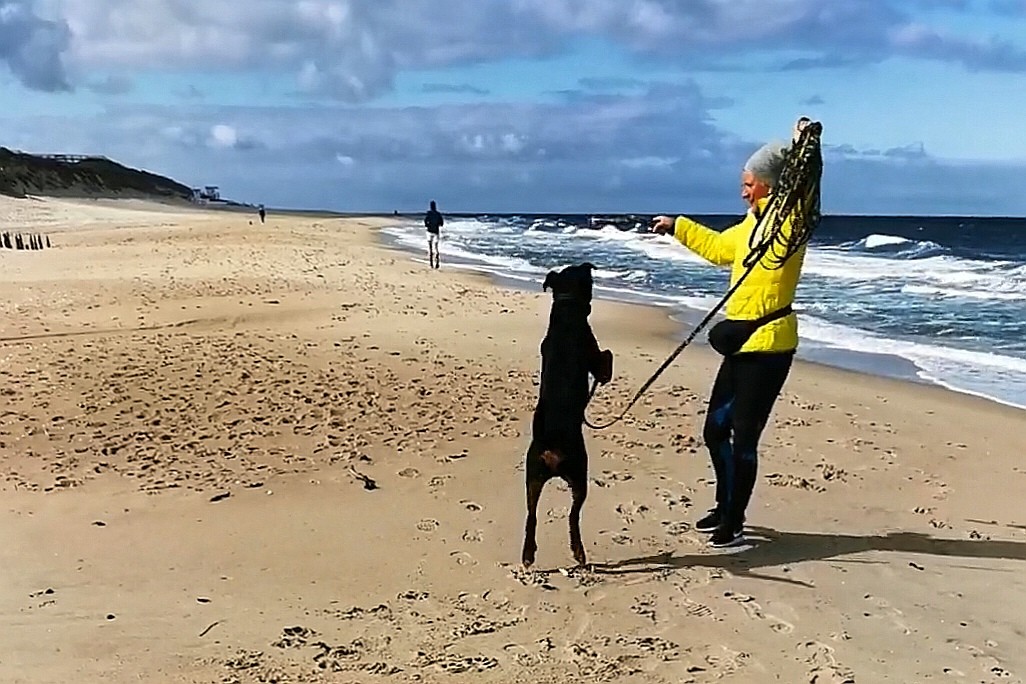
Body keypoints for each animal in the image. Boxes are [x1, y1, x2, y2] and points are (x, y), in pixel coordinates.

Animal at [525, 262, 611, 566]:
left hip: (532, 476)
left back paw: (528, 554)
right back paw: (578, 551)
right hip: (580, 474)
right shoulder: (594, 356)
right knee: (574, 516)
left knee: (531, 515)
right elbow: (606, 358)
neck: (567, 304)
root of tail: (552, 450)